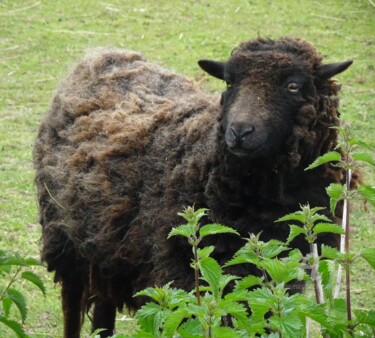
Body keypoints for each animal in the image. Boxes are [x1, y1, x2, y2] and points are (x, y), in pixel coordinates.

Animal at [33, 35, 356, 336]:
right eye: (229, 81)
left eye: (293, 85)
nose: (239, 132)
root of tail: (103, 56)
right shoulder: (186, 272)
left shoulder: (278, 272)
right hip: (66, 240)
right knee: (72, 309)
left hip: (107, 246)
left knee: (103, 308)